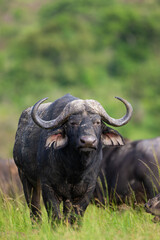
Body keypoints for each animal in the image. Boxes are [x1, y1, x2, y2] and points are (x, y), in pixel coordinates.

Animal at [12, 93, 132, 223]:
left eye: (97, 122)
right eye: (73, 123)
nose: (88, 142)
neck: (74, 169)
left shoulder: (86, 191)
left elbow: (75, 218)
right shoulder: (48, 188)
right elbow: (55, 216)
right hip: (26, 178)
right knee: (34, 209)